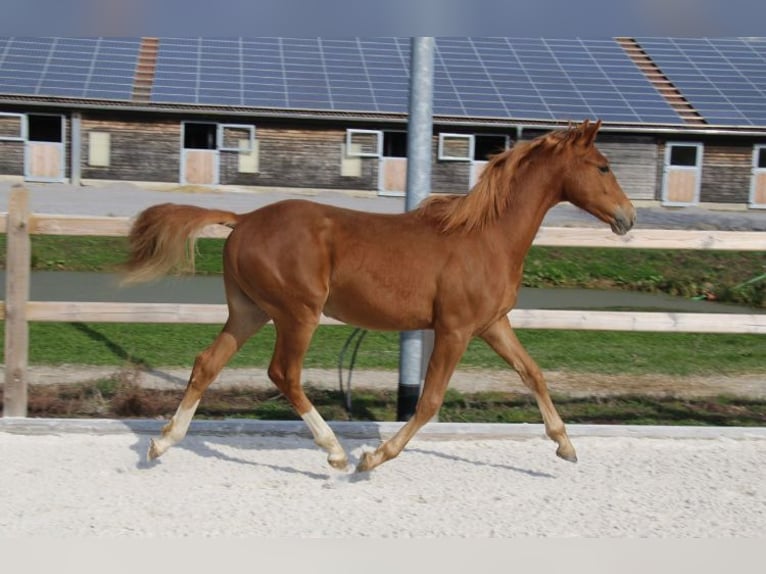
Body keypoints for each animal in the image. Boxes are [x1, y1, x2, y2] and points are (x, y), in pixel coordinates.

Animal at [123, 120, 636, 472]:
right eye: (603, 166)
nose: (628, 217)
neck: (486, 236)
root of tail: (243, 220)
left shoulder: (492, 324)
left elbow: (533, 373)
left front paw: (565, 445)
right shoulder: (454, 330)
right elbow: (429, 401)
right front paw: (374, 456)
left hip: (250, 312)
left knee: (207, 363)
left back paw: (162, 443)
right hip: (297, 314)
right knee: (283, 373)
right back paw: (335, 452)